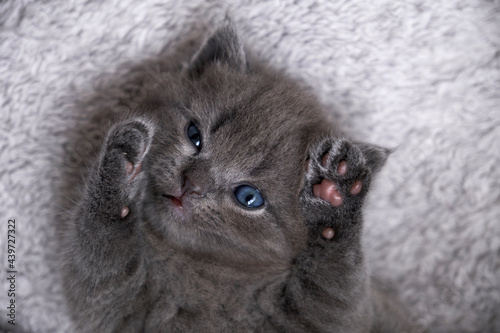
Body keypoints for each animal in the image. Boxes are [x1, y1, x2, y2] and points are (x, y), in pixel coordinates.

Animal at [63, 21, 418, 332]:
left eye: (249, 197)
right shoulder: (118, 304)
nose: (191, 185)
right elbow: (100, 251)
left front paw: (335, 192)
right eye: (194, 136)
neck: (202, 268)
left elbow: (336, 284)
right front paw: (123, 164)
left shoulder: (336, 316)